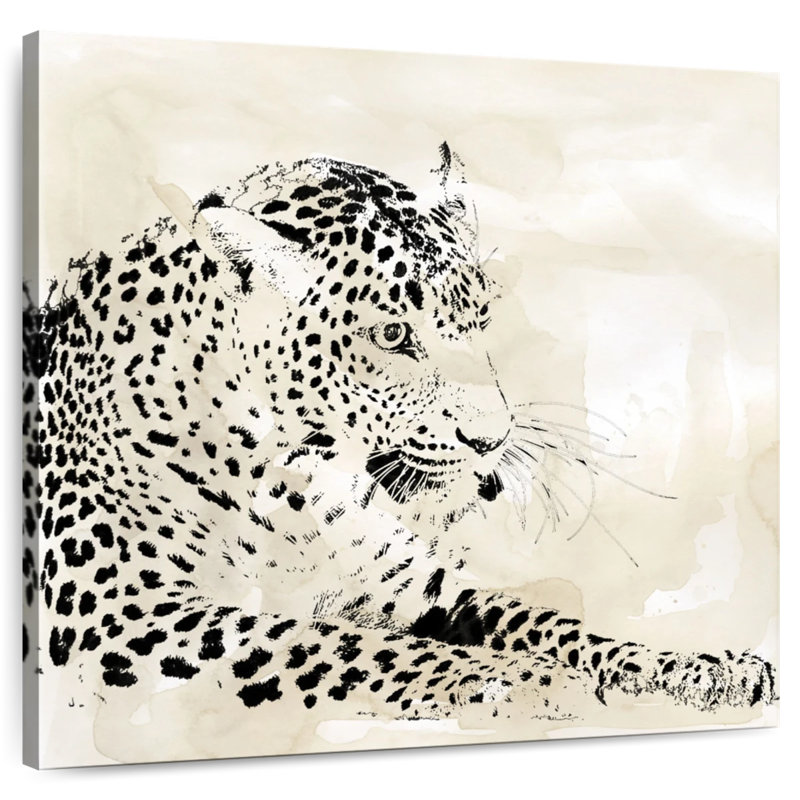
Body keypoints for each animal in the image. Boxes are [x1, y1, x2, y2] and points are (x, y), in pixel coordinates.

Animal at [22, 143, 775, 754]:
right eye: (390, 335)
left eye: (480, 314)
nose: (491, 439)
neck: (293, 486)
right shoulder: (124, 617)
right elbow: (347, 647)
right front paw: (529, 682)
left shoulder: (411, 587)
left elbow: (548, 623)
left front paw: (702, 671)